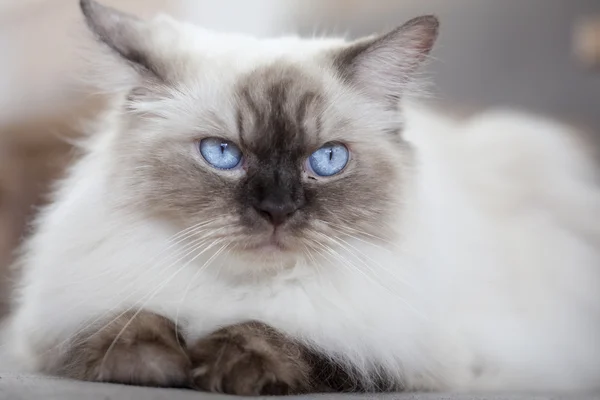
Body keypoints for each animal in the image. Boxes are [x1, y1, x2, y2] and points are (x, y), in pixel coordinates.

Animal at [1, 0, 600, 396]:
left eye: (327, 160)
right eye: (222, 153)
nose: (277, 211)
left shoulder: (426, 358)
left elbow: (297, 342)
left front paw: (225, 364)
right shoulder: (53, 325)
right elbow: (119, 328)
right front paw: (156, 361)